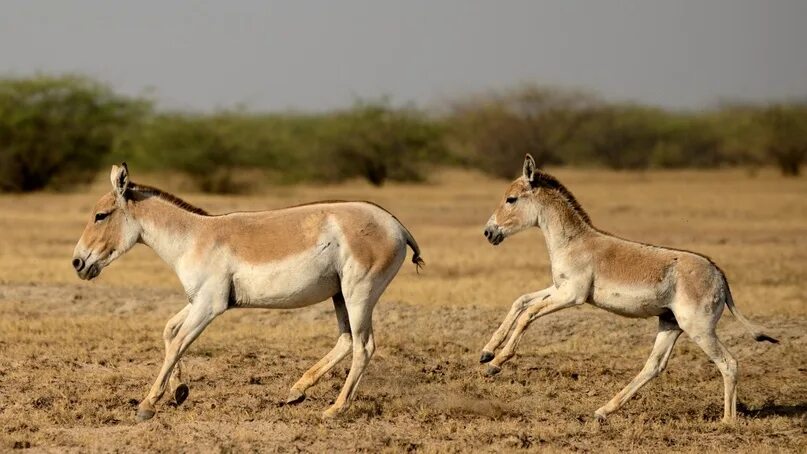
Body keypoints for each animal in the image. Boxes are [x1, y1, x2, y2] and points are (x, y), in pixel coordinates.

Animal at [73, 165, 426, 420]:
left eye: (100, 215)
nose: (78, 262)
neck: (193, 238)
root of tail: (397, 225)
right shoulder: (198, 300)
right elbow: (169, 331)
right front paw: (179, 390)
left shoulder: (209, 305)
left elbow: (177, 343)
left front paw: (148, 404)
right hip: (340, 293)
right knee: (346, 340)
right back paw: (297, 390)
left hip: (358, 292)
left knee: (364, 346)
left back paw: (336, 409)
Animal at [480, 155, 776, 422]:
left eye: (511, 199)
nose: (488, 232)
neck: (573, 242)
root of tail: (720, 274)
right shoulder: (559, 288)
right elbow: (521, 301)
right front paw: (487, 351)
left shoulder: (571, 295)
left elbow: (528, 314)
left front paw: (497, 362)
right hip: (671, 323)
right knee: (653, 366)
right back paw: (604, 411)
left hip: (699, 328)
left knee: (728, 363)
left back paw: (728, 422)